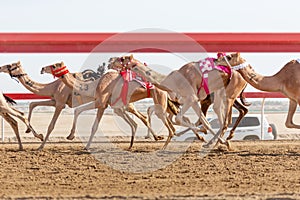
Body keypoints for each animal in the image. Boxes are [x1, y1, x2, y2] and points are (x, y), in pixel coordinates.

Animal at [0, 61, 155, 150]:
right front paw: (32, 132)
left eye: (10, 65)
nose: (42, 68)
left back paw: (154, 137)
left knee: (141, 116)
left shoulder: (60, 103)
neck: (52, 86)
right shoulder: (56, 101)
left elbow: (51, 125)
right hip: (120, 103)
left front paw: (41, 145)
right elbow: (32, 103)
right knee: (137, 116)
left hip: (124, 103)